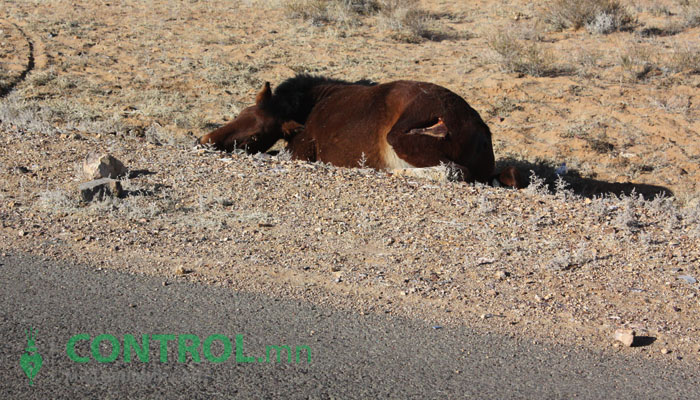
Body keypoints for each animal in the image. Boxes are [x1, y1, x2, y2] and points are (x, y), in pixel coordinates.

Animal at [200, 75, 524, 188]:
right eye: (240, 115)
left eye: (255, 136)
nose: (204, 141)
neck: (310, 107)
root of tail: (482, 133)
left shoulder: (299, 151)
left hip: (401, 138)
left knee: (453, 171)